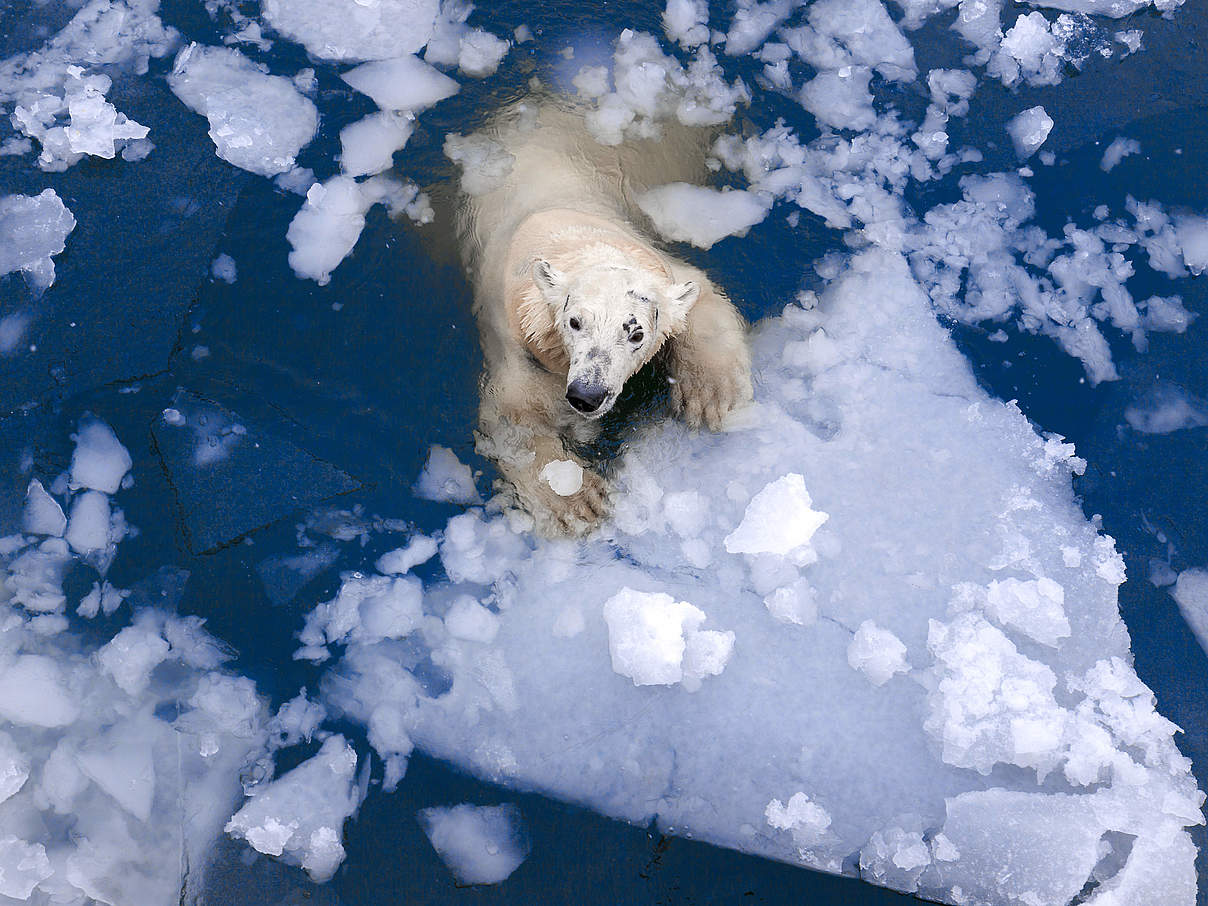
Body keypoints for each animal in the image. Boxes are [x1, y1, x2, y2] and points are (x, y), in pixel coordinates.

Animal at [454, 100, 748, 538]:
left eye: (636, 333)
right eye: (574, 322)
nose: (586, 395)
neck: (565, 236)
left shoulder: (659, 265)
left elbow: (698, 299)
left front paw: (712, 395)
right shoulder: (517, 341)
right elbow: (514, 419)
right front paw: (578, 499)